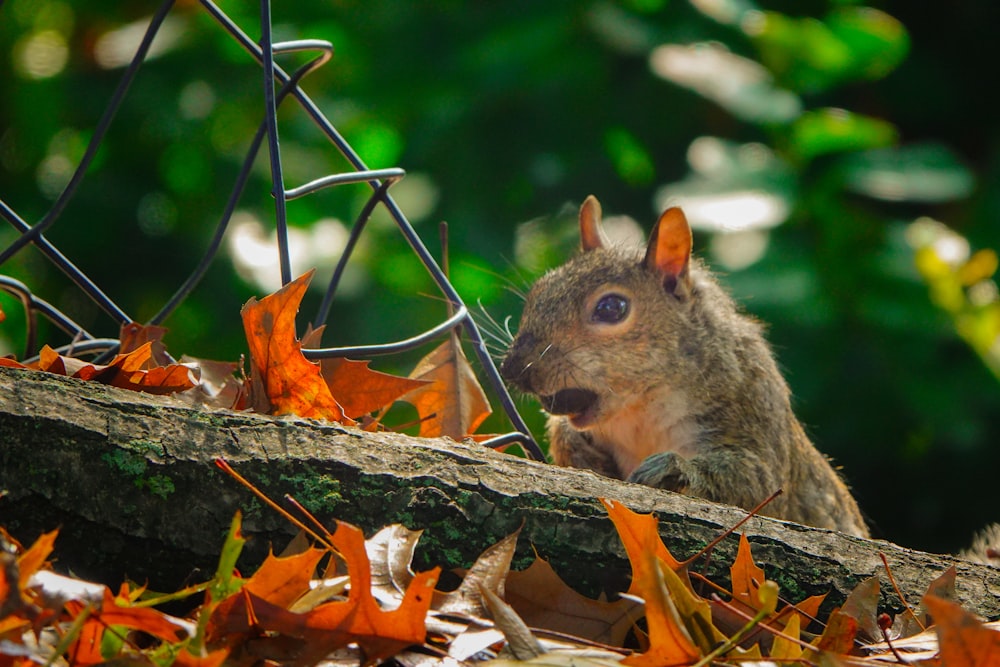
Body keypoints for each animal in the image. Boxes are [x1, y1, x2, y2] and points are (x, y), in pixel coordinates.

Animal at [500, 193, 868, 536]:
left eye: (612, 308)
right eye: (539, 290)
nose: (514, 369)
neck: (640, 411)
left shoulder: (756, 412)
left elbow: (756, 484)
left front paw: (672, 467)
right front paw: (575, 447)